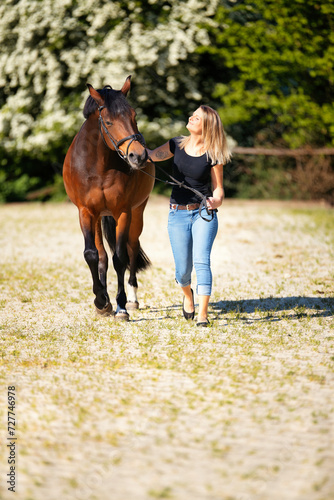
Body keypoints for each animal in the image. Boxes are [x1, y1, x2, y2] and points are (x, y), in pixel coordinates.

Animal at [63, 77, 155, 320]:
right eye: (109, 122)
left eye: (134, 116)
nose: (138, 156)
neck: (100, 166)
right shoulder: (86, 212)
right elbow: (92, 255)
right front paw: (101, 301)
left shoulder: (123, 211)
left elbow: (120, 258)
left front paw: (121, 305)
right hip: (98, 217)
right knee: (102, 255)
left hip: (137, 213)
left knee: (132, 248)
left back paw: (132, 300)